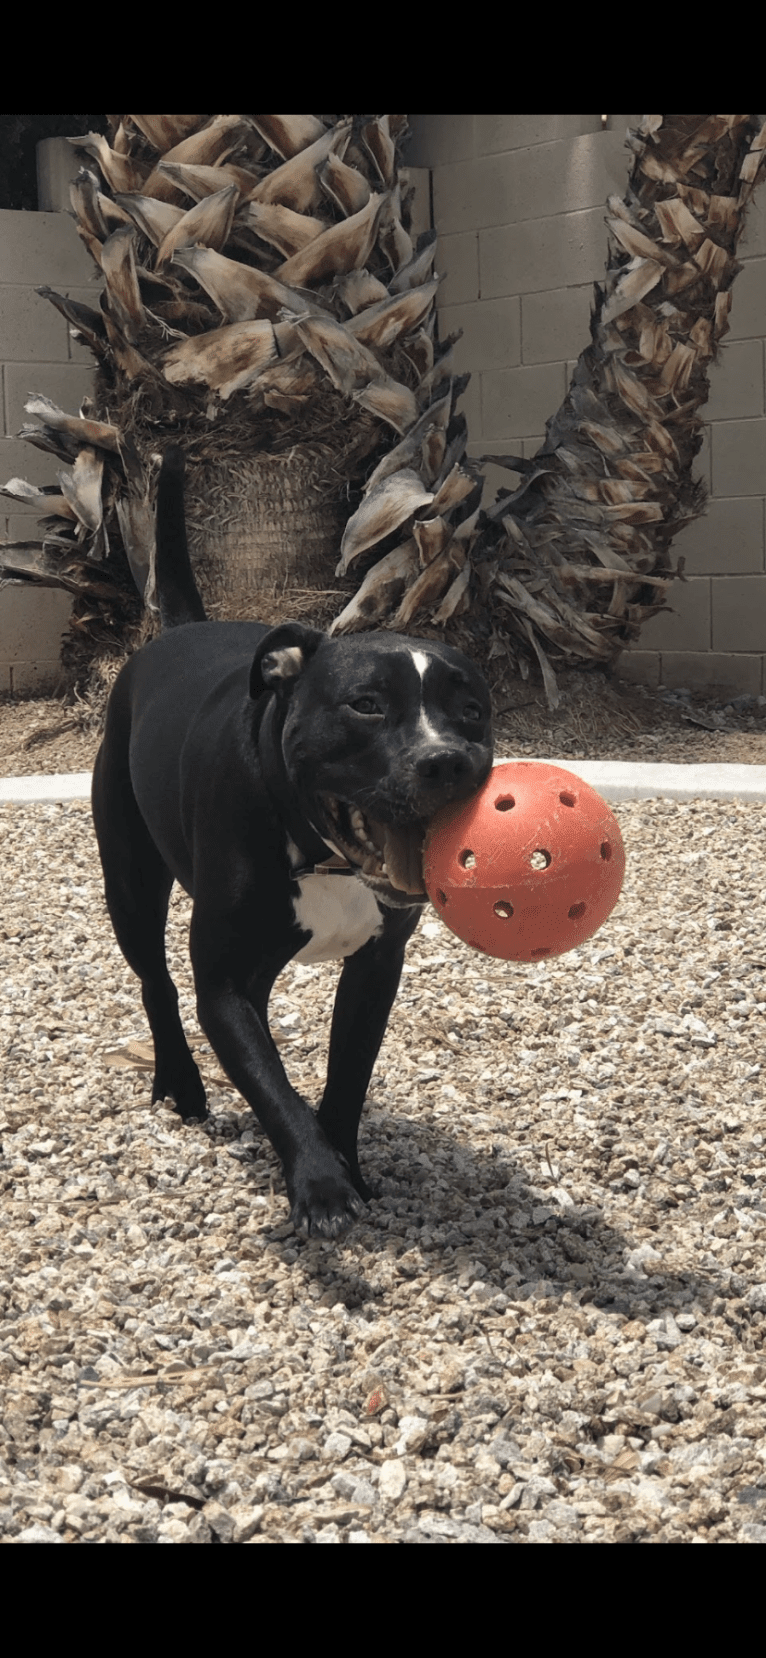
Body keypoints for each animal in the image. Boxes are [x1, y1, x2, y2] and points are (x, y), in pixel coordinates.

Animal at [92, 447, 494, 1240]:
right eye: (366, 705)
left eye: (471, 710)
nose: (449, 762)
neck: (323, 855)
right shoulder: (226, 986)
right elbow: (272, 1087)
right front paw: (317, 1182)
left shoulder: (375, 969)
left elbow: (346, 1078)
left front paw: (346, 1166)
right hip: (129, 883)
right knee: (155, 981)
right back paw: (180, 1083)